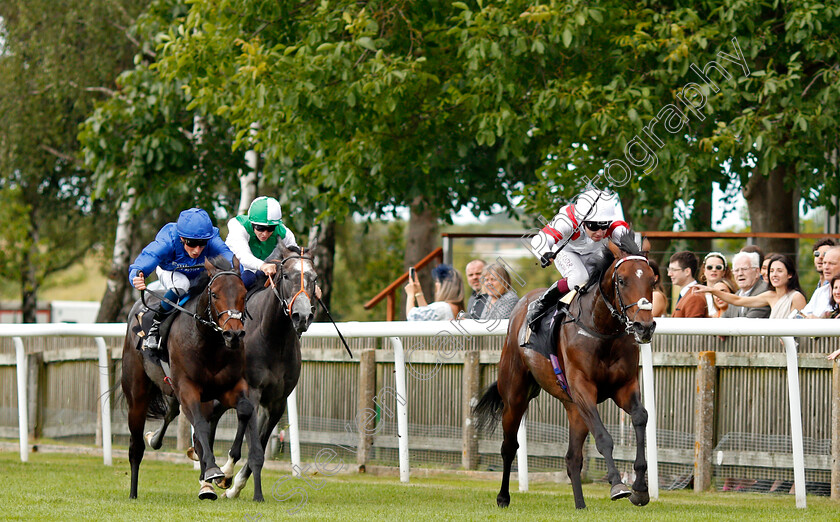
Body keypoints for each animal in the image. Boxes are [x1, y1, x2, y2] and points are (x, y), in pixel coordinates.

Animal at [121, 256, 264, 500]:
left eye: (244, 293)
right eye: (214, 294)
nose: (234, 334)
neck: (207, 343)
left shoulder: (230, 387)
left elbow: (244, 410)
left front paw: (219, 473)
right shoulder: (187, 388)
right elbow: (200, 426)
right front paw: (215, 469)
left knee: (173, 415)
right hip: (137, 394)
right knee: (136, 445)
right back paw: (132, 492)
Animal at [472, 236, 656, 508]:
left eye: (652, 280)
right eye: (622, 280)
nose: (644, 326)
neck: (600, 329)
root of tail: (521, 305)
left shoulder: (624, 387)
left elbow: (641, 417)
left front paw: (640, 489)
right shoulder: (583, 390)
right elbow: (603, 437)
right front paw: (617, 485)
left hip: (573, 408)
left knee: (572, 458)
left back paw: (580, 505)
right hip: (515, 396)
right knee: (509, 446)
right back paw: (503, 497)